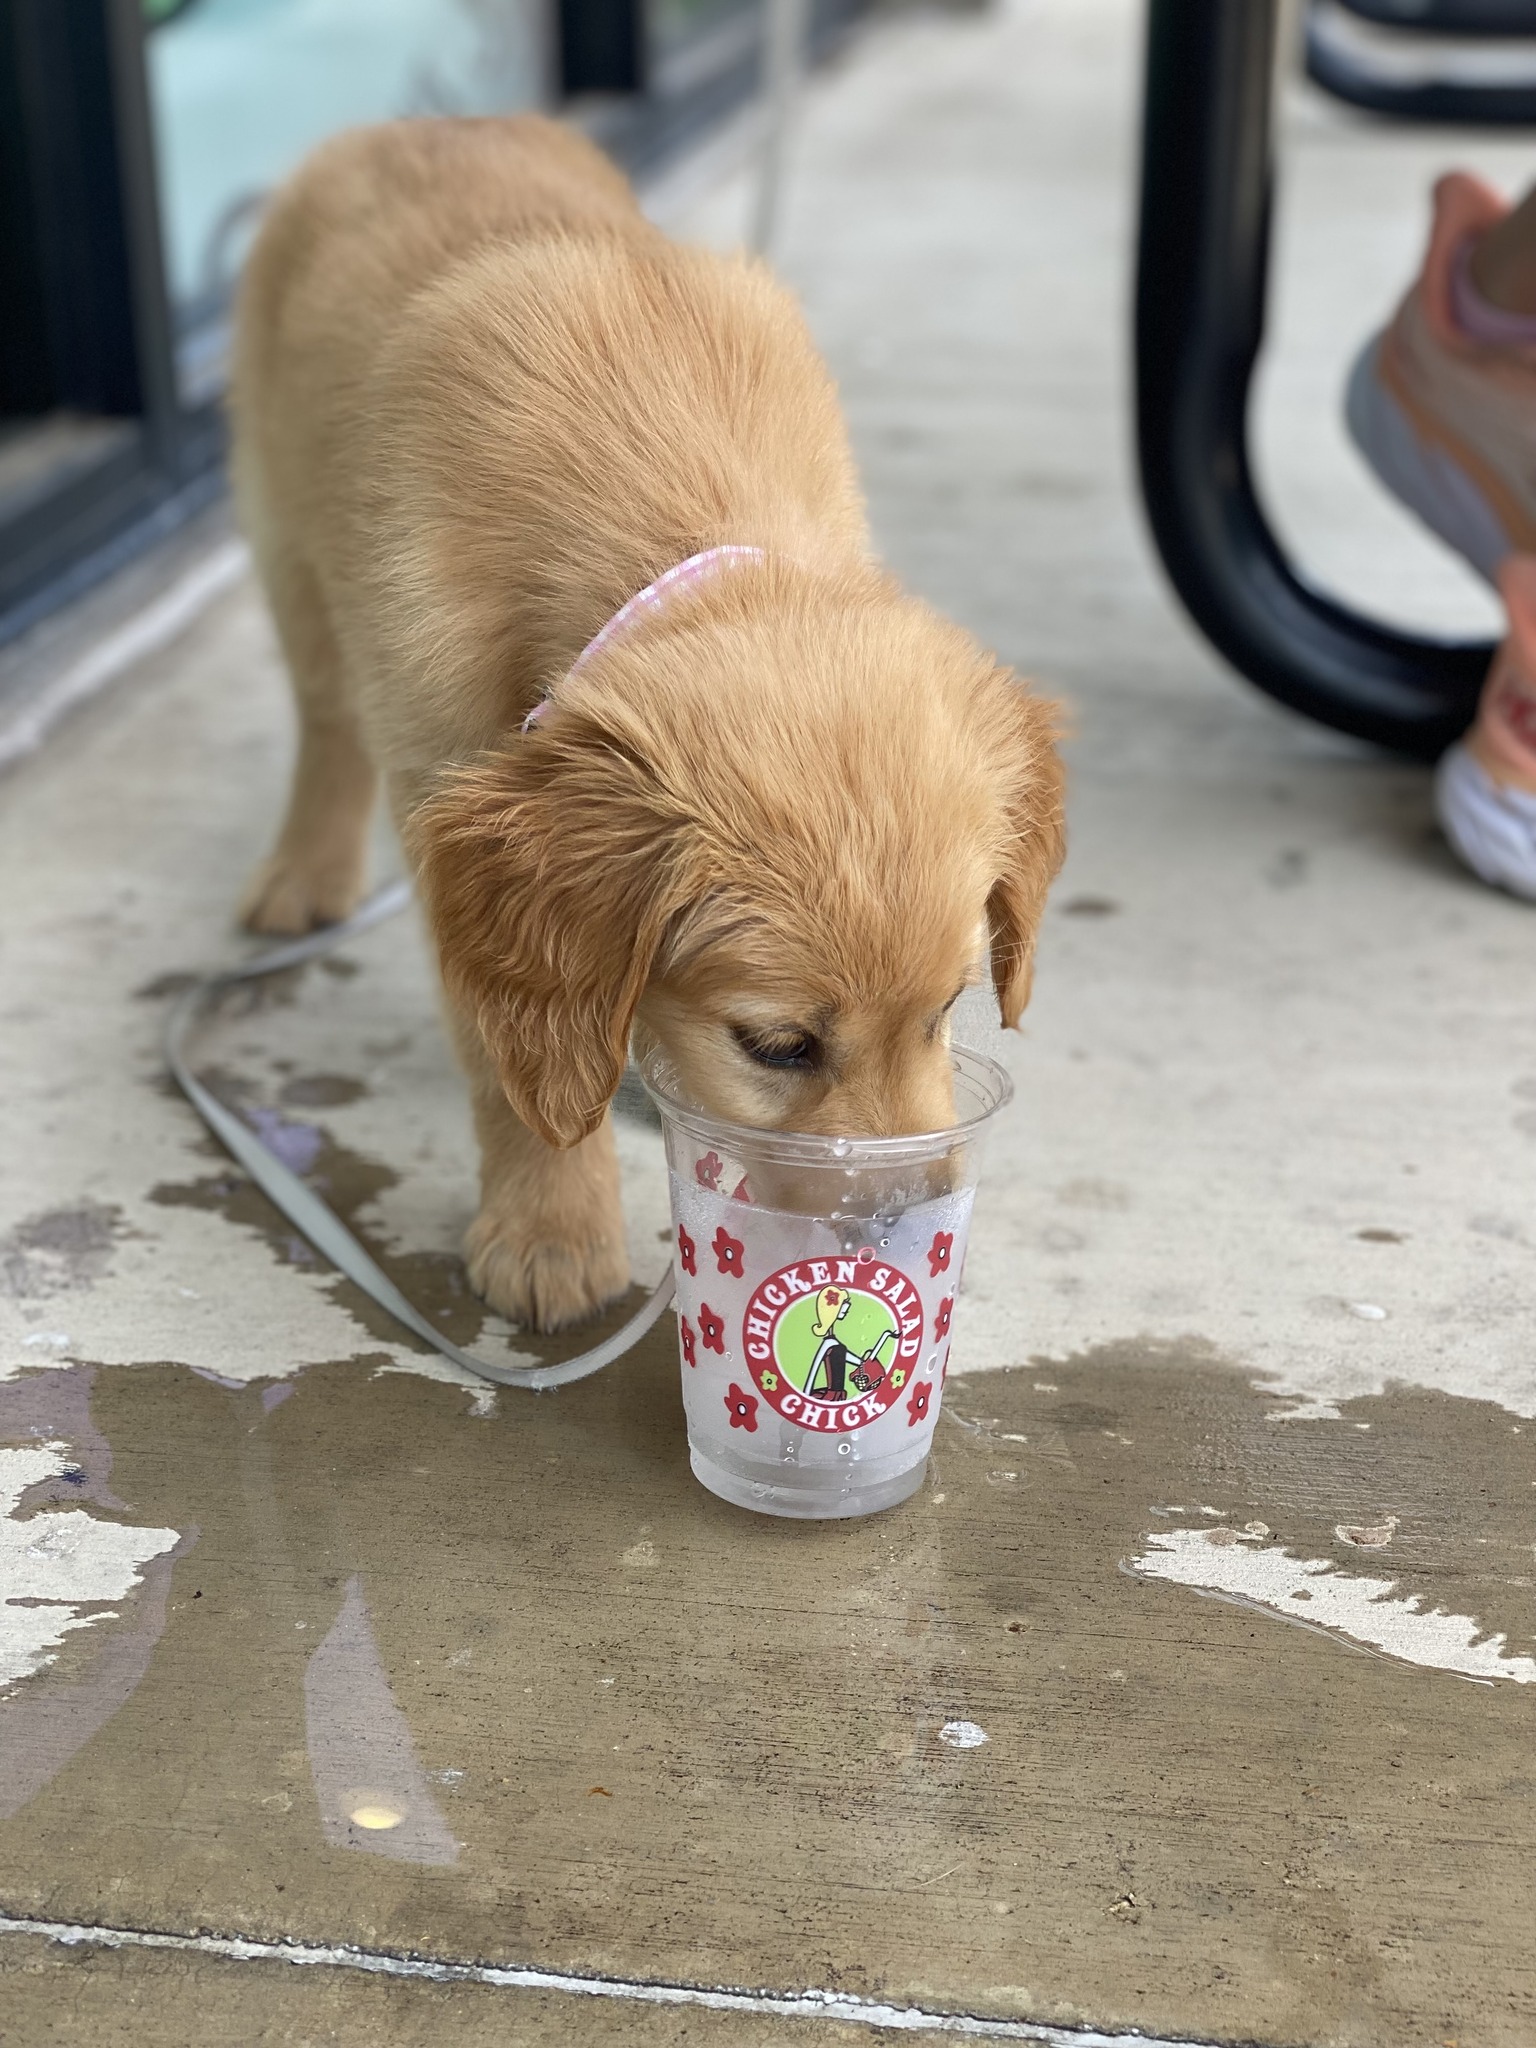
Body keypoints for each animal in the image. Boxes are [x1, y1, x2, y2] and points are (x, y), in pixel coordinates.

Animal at [231, 115, 1064, 1332]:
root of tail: (416, 123)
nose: (900, 1229)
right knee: (324, 716)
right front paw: (550, 1230)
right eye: (776, 1044)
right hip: (287, 533)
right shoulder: (445, 786)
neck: (672, 507)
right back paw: (303, 871)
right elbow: (510, 1050)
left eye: (949, 1006)